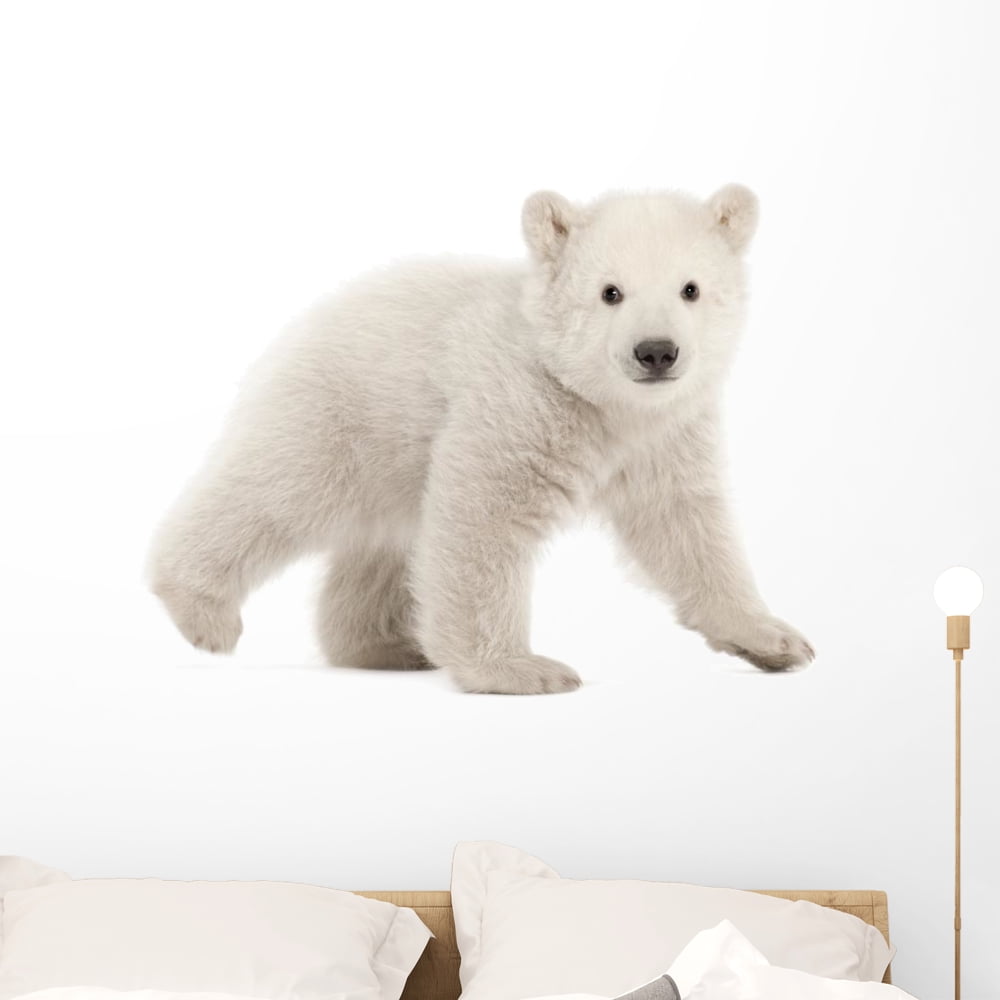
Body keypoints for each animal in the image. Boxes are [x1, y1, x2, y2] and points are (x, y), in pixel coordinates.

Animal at [147, 184, 814, 694]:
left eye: (691, 288)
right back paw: (201, 610)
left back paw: (390, 644)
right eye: (610, 291)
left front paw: (775, 639)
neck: (605, 405)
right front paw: (522, 670)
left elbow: (684, 525)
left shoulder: (666, 432)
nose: (656, 352)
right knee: (281, 491)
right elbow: (484, 520)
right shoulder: (518, 401)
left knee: (385, 546)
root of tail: (305, 320)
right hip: (348, 409)